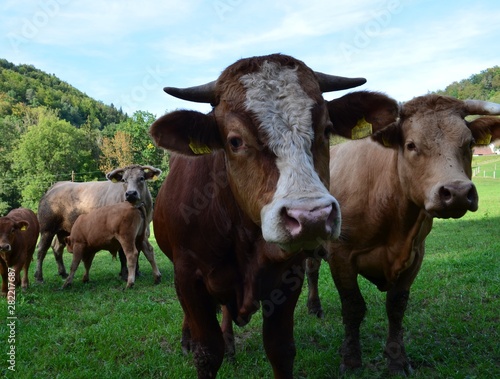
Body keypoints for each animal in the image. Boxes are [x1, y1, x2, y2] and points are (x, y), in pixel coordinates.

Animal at [33, 165, 162, 284]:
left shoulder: (143, 232)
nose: (130, 194)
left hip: (63, 230)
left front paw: (137, 272)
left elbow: (138, 251)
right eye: (124, 180)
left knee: (57, 248)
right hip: (47, 229)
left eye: (141, 178)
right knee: (41, 249)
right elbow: (123, 255)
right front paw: (125, 274)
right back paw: (39, 277)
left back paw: (63, 272)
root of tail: (56, 186)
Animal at [149, 54, 402, 379]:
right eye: (235, 141)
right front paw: (199, 344)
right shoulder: (188, 277)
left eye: (326, 130)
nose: (311, 217)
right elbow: (207, 353)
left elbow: (280, 349)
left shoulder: (288, 275)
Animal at [304, 94, 500, 378]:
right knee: (311, 269)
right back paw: (313, 307)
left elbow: (396, 307)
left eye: (470, 143)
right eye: (411, 145)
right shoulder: (341, 254)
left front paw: (396, 360)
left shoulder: (416, 255)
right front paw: (351, 360)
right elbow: (353, 307)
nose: (457, 192)